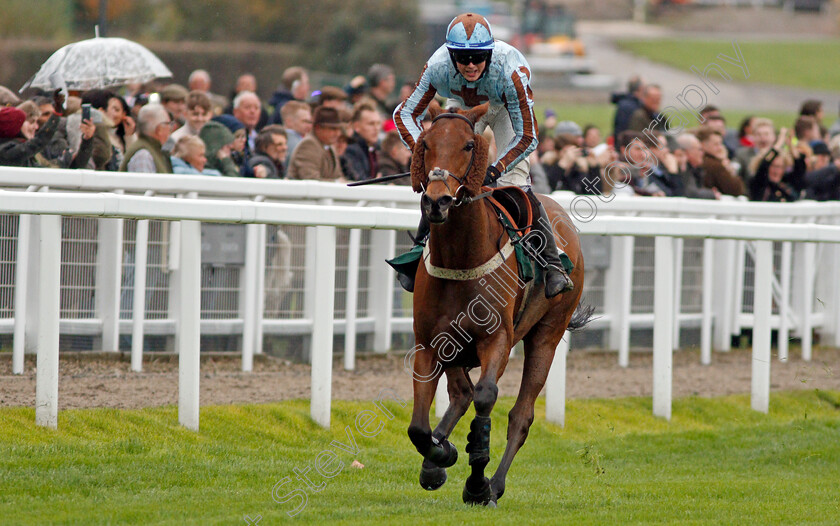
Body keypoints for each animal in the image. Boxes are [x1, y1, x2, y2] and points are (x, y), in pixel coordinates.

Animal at [404, 102, 588, 508]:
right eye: (426, 144)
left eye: (470, 145)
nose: (437, 201)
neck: (460, 258)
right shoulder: (430, 342)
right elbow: (418, 428)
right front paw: (440, 456)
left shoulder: (497, 338)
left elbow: (486, 398)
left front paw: (476, 482)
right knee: (460, 394)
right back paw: (436, 461)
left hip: (547, 335)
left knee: (520, 415)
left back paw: (496, 484)